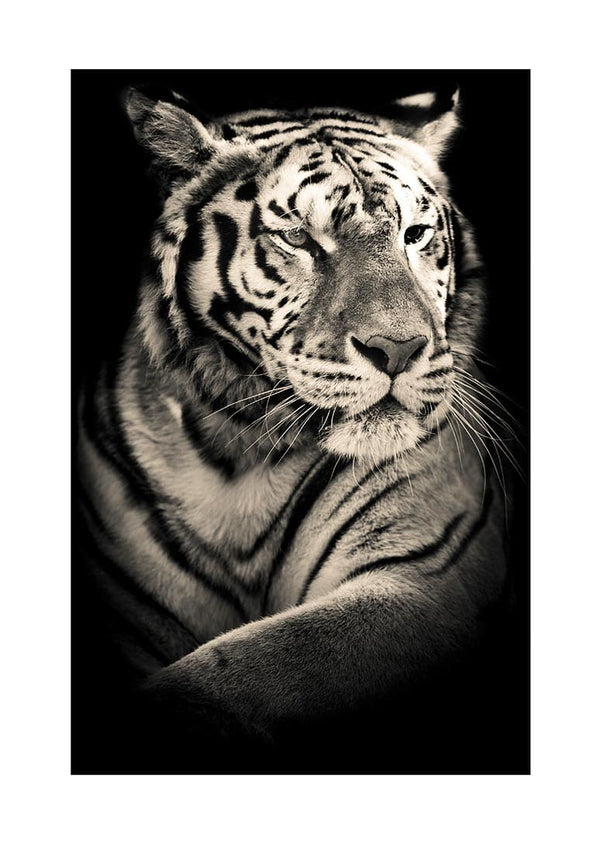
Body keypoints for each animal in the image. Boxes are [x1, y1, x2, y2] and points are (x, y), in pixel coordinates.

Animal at [76, 86, 514, 770]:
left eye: (415, 235)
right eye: (299, 238)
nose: (399, 348)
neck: (239, 456)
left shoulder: (426, 577)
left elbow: (251, 665)